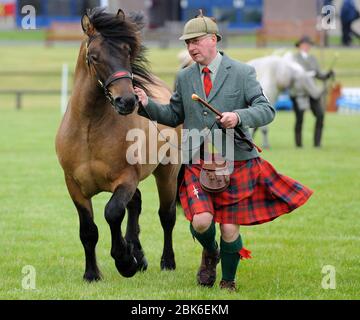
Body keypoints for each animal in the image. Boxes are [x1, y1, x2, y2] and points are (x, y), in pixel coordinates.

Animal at [54, 7, 180, 282]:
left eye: (127, 51)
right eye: (94, 57)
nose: (127, 101)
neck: (89, 129)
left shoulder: (126, 179)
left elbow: (112, 213)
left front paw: (124, 261)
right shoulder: (74, 186)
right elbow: (88, 230)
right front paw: (92, 274)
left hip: (167, 174)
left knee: (166, 216)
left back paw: (166, 261)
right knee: (136, 204)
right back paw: (140, 255)